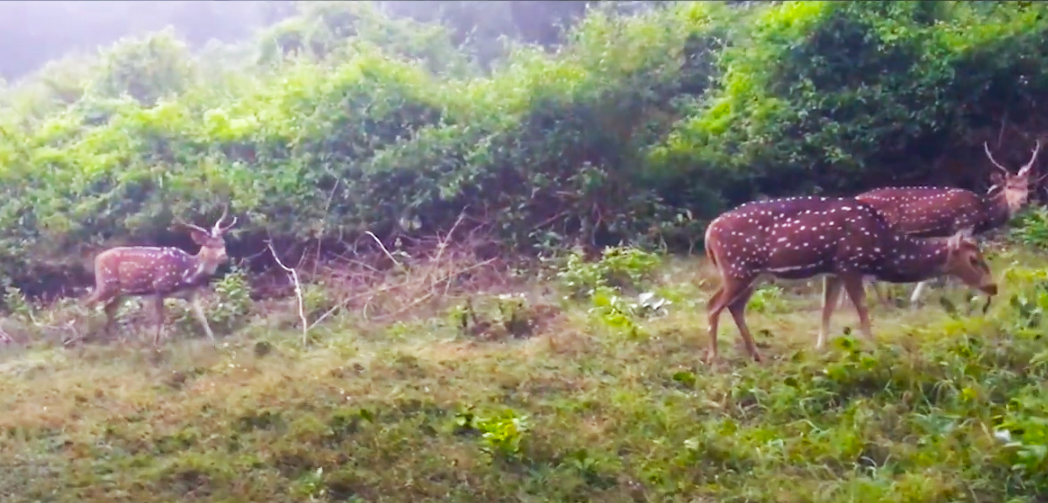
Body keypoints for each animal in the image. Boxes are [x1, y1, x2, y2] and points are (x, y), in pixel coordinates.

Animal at [79, 207, 239, 345]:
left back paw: (112, 337)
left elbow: (202, 318)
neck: (187, 272)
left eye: (223, 243)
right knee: (87, 303)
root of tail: (97, 258)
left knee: (108, 308)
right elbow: (159, 320)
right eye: (209, 244)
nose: (224, 257)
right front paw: (156, 345)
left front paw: (213, 342)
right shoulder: (158, 287)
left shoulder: (191, 294)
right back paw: (86, 334)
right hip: (106, 283)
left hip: (121, 291)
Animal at [704, 194, 997, 362]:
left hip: (751, 274)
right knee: (712, 305)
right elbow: (862, 307)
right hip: (737, 268)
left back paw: (756, 354)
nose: (993, 287)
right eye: (974, 259)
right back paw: (714, 358)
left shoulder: (833, 270)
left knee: (734, 306)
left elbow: (827, 309)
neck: (882, 247)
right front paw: (873, 346)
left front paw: (820, 347)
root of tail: (709, 234)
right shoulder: (850, 263)